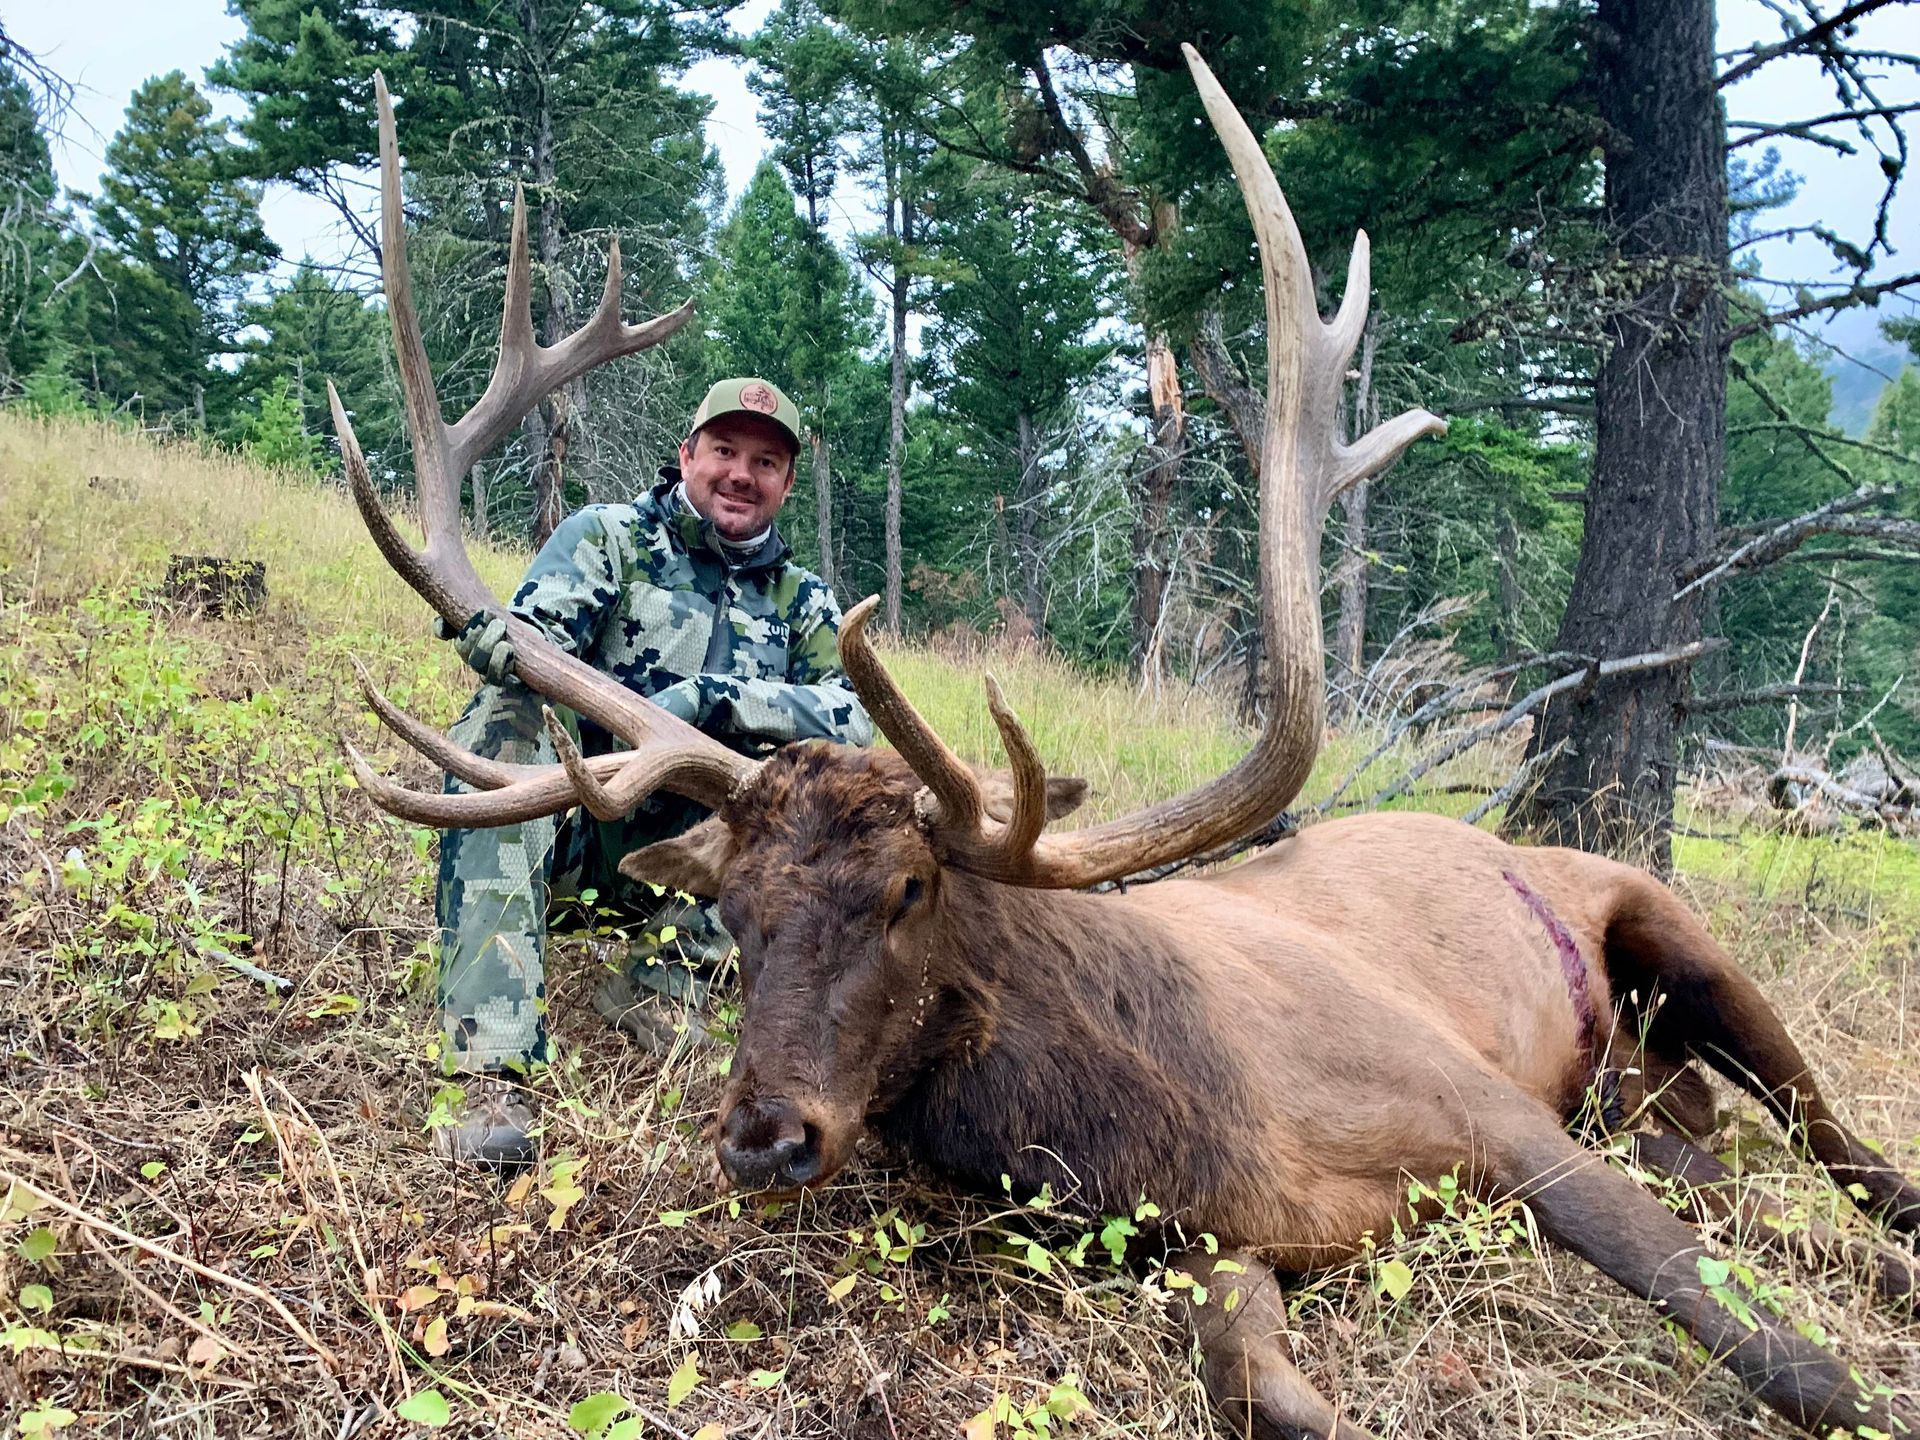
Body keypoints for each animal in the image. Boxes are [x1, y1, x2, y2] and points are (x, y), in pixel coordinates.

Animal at [333, 50, 1920, 1439]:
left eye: (910, 892)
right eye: (732, 907)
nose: (765, 1136)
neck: (1174, 1115)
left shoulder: (1490, 1107)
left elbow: (1783, 1353)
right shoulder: (1220, 1240)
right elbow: (1262, 1392)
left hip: (1670, 934)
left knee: (1834, 1151)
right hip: (1646, 1093)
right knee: (1737, 1164)